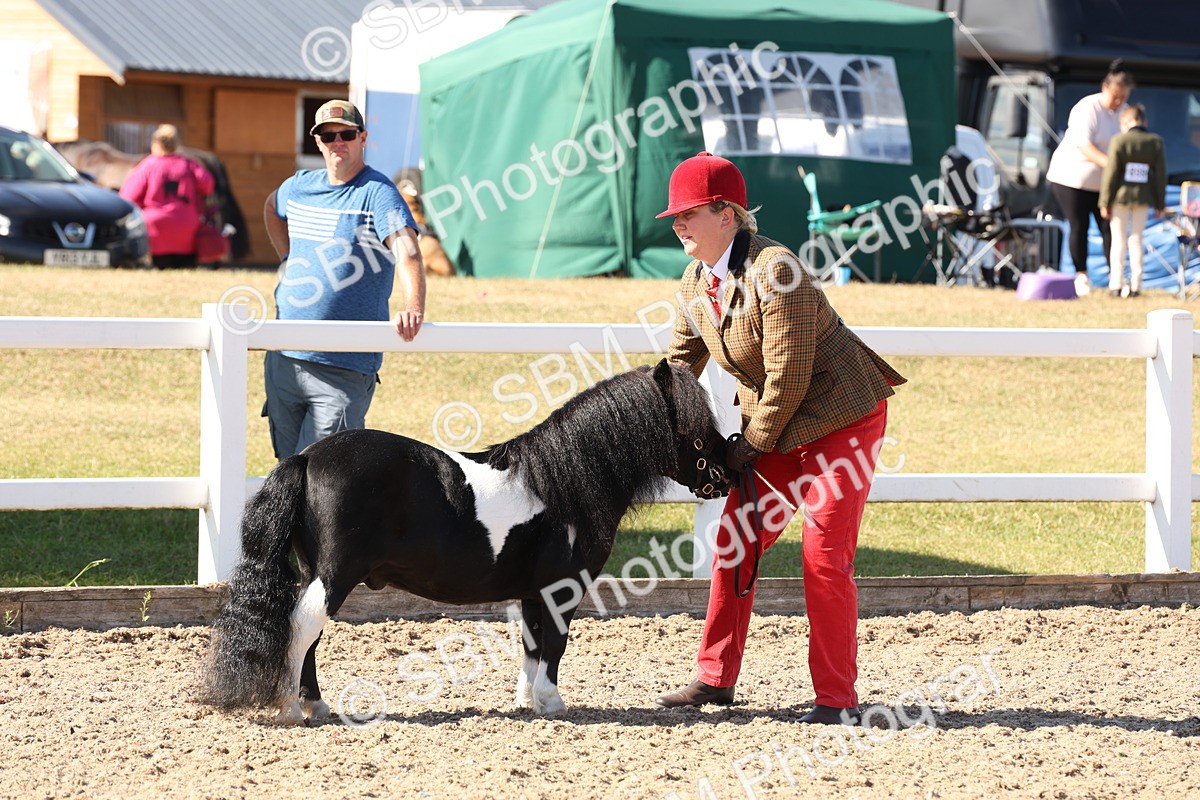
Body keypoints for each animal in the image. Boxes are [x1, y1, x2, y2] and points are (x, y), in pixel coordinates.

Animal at [199, 360, 730, 724]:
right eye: (697, 428)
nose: (728, 474)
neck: (566, 482)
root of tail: (307, 457)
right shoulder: (562, 588)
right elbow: (555, 644)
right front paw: (552, 702)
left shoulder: (531, 592)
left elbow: (531, 644)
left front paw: (526, 702)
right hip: (335, 574)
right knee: (304, 625)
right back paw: (293, 708)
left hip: (316, 573)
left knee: (308, 632)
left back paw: (316, 704)